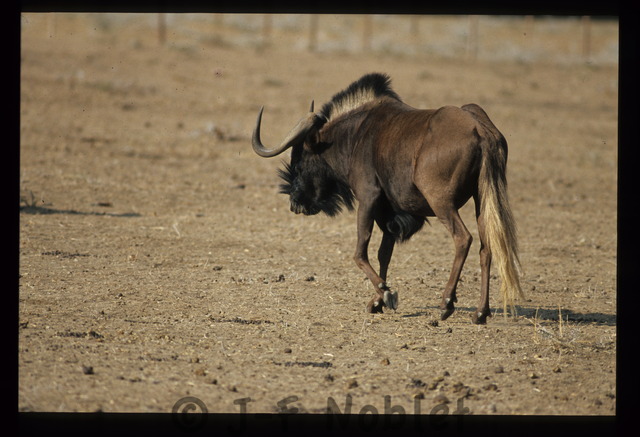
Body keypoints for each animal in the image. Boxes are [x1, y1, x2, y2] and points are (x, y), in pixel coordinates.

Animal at [251, 73, 523, 324]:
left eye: (299, 163)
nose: (295, 203)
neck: (354, 135)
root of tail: (480, 130)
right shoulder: (388, 212)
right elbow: (384, 253)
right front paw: (377, 301)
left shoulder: (367, 197)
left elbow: (360, 251)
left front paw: (386, 293)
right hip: (482, 200)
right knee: (487, 247)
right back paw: (480, 312)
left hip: (442, 202)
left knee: (463, 238)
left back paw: (447, 303)